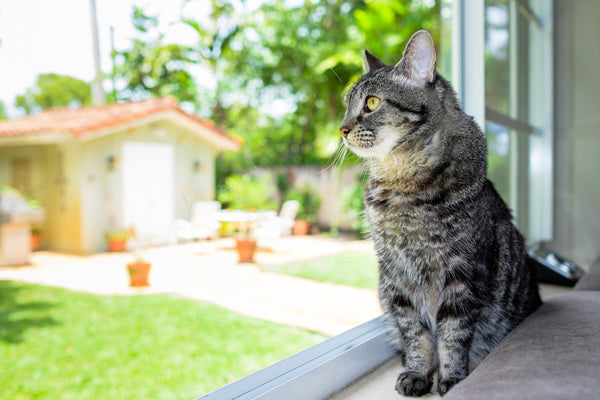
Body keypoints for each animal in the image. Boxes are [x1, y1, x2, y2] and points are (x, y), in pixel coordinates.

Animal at [340, 29, 540, 396]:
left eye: (371, 103)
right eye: (347, 104)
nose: (342, 129)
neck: (402, 185)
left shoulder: (462, 275)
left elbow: (452, 335)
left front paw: (453, 379)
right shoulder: (396, 278)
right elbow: (415, 335)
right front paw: (418, 373)